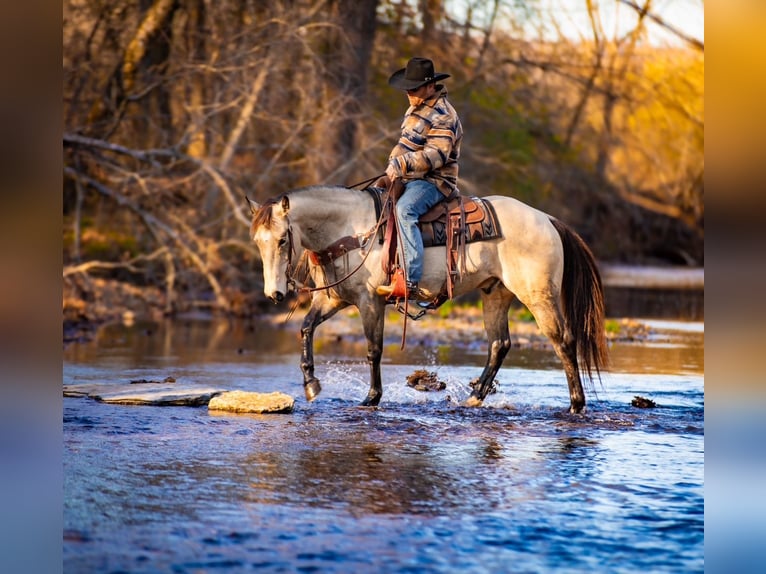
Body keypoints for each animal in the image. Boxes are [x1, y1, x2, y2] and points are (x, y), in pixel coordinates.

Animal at [247, 185, 608, 413]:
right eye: (257, 241)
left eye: (282, 240)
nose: (274, 294)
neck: (352, 232)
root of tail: (547, 220)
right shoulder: (335, 299)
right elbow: (306, 328)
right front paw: (311, 383)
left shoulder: (369, 301)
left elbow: (373, 349)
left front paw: (371, 398)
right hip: (496, 292)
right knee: (499, 344)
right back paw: (474, 398)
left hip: (538, 295)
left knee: (563, 340)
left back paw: (576, 404)